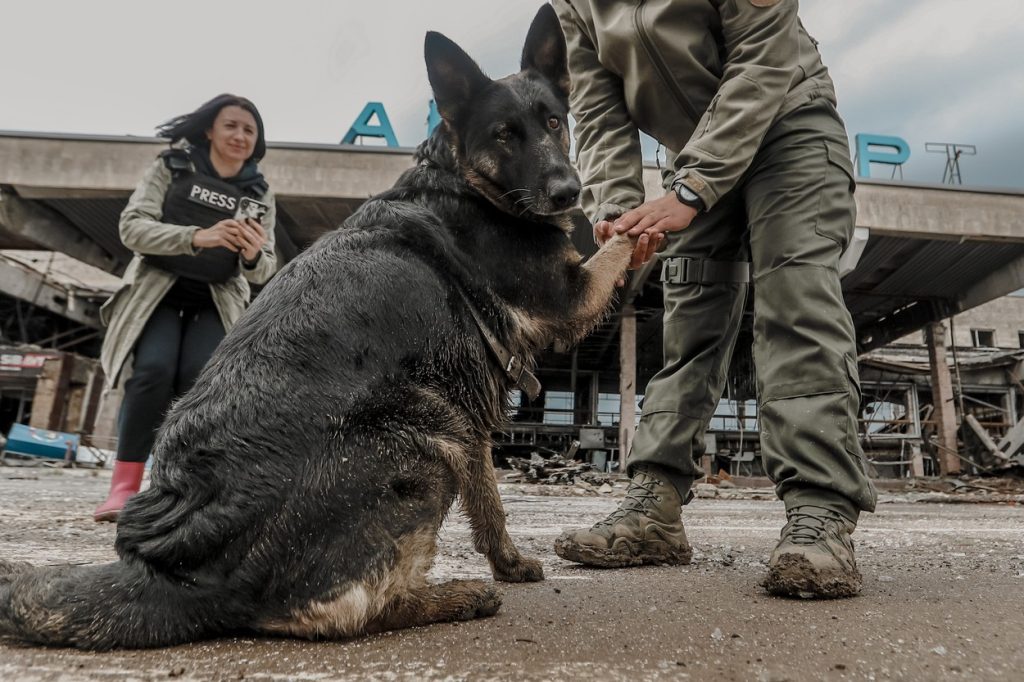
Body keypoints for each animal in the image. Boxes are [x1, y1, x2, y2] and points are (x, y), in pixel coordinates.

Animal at [0, 5, 634, 647]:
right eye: (505, 134)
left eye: (553, 121)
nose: (569, 192)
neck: (462, 182)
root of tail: (178, 573)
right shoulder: (570, 298)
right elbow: (624, 241)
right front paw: (645, 213)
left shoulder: (472, 412)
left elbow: (487, 500)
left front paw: (508, 562)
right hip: (425, 440)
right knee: (345, 613)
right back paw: (455, 597)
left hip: (444, 425)